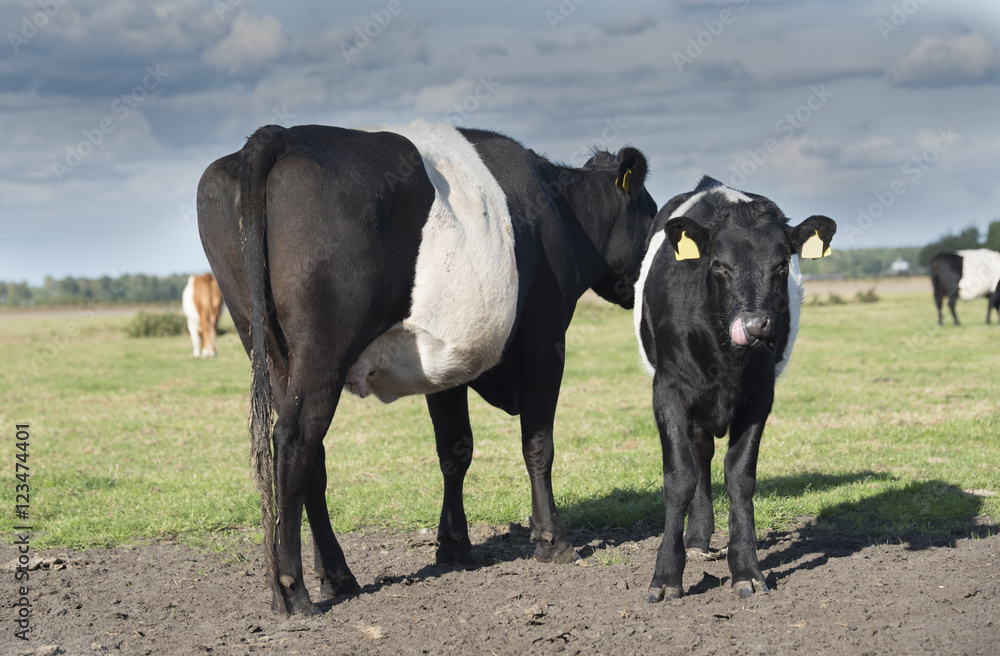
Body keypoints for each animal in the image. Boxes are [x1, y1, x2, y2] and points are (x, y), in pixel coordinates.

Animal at [198, 119, 660, 616]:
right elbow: (538, 444)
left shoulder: (447, 361)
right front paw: (552, 540)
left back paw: (337, 576)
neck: (561, 211)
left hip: (266, 345)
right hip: (323, 347)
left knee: (311, 457)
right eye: (655, 218)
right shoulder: (546, 339)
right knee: (295, 439)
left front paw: (454, 545)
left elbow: (455, 450)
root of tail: (281, 134)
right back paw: (292, 590)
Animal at [632, 177, 836, 604]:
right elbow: (679, 476)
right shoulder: (667, 389)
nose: (756, 324)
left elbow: (740, 476)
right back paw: (696, 537)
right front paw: (666, 575)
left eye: (781, 264)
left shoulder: (760, 394)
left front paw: (746, 568)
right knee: (698, 455)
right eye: (719, 264)